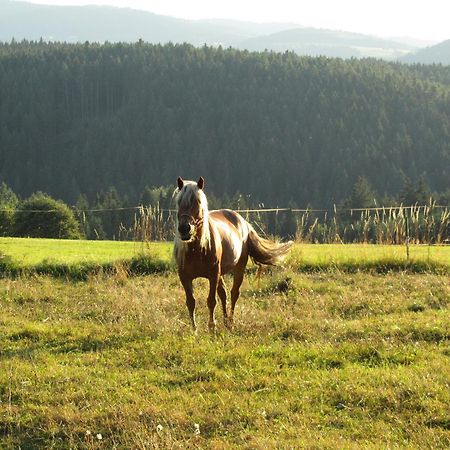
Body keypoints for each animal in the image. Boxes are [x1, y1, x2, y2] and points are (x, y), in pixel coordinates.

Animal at [173, 178, 296, 332]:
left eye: (198, 202)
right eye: (179, 202)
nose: (184, 229)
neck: (198, 249)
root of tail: (243, 222)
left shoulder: (213, 274)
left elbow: (211, 301)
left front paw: (212, 327)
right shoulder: (184, 276)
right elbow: (191, 302)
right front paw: (194, 330)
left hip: (238, 268)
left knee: (233, 293)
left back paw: (230, 322)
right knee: (224, 294)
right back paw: (226, 321)